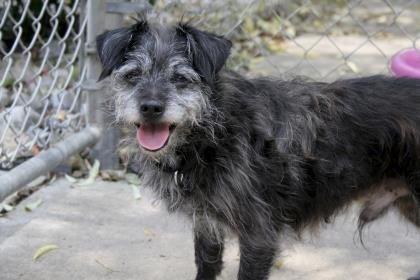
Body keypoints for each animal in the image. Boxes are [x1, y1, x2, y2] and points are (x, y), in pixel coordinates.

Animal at [96, 19, 420, 280]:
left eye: (180, 78)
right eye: (133, 75)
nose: (150, 107)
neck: (214, 133)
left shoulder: (259, 235)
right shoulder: (206, 224)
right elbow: (207, 264)